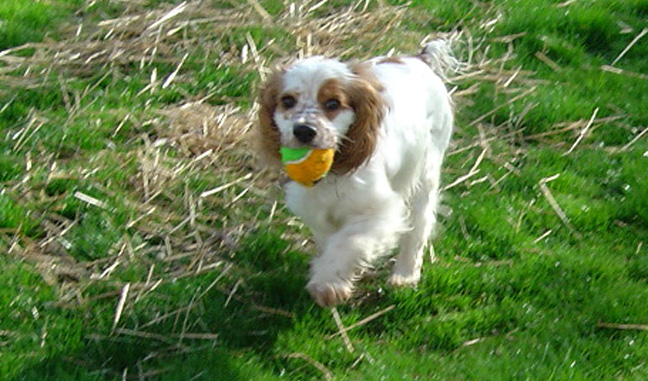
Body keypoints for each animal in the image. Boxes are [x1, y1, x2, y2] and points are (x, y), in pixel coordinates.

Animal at [256, 40, 456, 306]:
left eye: (332, 103)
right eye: (287, 101)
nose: (304, 131)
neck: (333, 173)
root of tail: (418, 58)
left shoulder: (380, 213)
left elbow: (349, 243)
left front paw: (328, 284)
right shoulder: (316, 213)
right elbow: (331, 242)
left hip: (425, 173)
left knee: (419, 227)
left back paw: (404, 276)